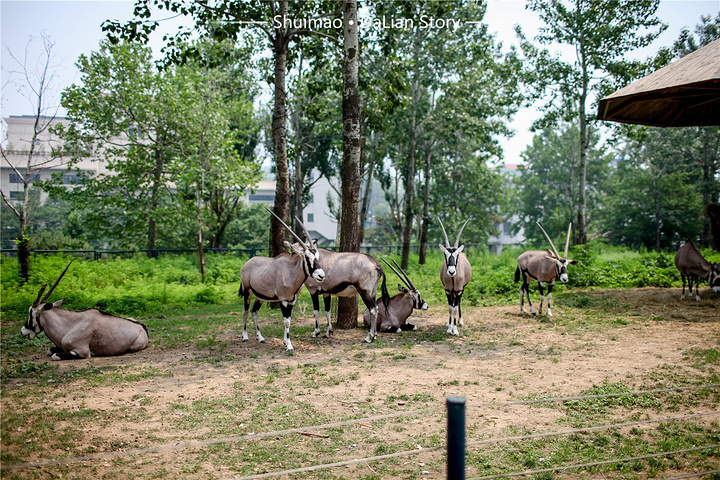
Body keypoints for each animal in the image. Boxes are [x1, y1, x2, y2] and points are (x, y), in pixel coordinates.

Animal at [21, 262, 149, 360]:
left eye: (31, 313)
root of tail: (142, 327)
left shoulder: (81, 351)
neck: (69, 326)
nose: (22, 331)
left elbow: (55, 355)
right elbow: (49, 350)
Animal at [238, 209, 325, 353]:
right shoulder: (283, 300)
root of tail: (247, 263)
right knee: (245, 311)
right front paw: (289, 345)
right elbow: (286, 322)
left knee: (254, 312)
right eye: (307, 257)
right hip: (247, 292)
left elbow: (288, 320)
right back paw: (245, 337)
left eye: (317, 256)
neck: (291, 272)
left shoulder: (291, 301)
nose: (321, 275)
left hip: (260, 297)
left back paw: (260, 338)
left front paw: (285, 342)